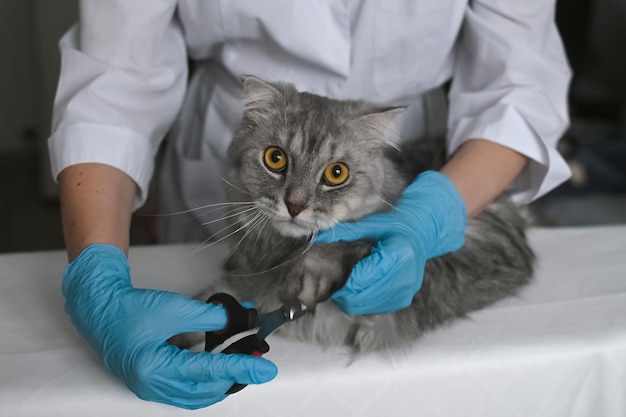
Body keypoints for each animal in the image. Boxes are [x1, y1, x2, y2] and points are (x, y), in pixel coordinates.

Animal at [186, 76, 532, 352]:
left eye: (336, 173)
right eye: (275, 158)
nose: (295, 206)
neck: (280, 257)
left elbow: (338, 252)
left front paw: (316, 270)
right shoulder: (240, 284)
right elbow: (204, 306)